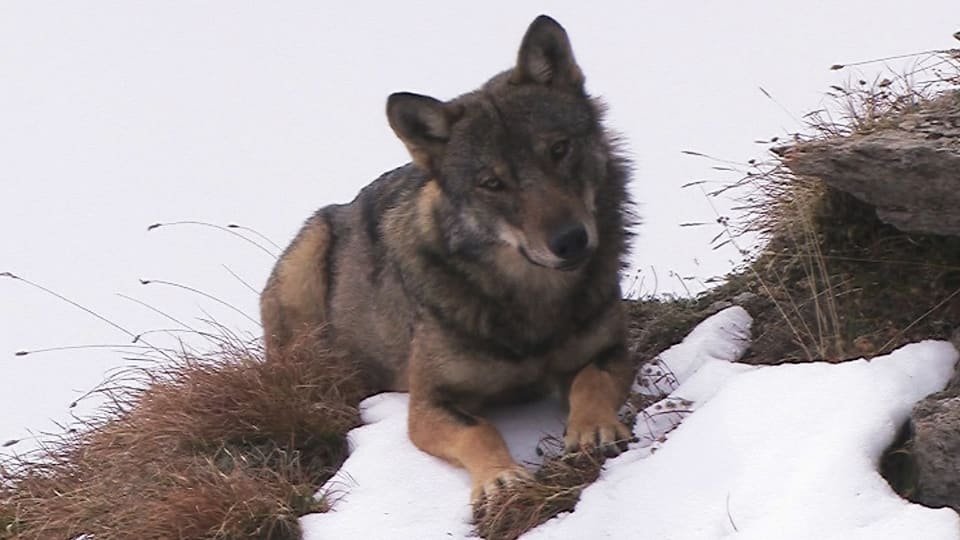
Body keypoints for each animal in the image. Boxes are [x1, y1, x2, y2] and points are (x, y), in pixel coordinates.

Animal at [262, 14, 636, 508]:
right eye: (492, 183)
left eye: (558, 149)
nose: (571, 241)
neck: (531, 305)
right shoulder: (429, 403)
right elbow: (478, 433)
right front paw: (500, 477)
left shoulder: (610, 348)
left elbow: (590, 381)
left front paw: (593, 428)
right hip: (308, 265)